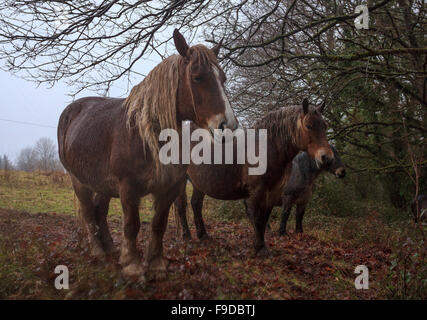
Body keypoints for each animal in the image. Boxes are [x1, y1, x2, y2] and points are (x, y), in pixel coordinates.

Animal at [57, 29, 239, 280]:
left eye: (223, 78)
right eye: (197, 77)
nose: (227, 125)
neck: (147, 136)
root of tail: (71, 112)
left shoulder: (169, 187)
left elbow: (158, 224)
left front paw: (155, 264)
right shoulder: (128, 188)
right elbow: (132, 225)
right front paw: (132, 265)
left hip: (103, 184)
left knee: (100, 210)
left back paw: (110, 248)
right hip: (79, 180)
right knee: (88, 212)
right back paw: (98, 251)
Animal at [175, 99, 334, 256]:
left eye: (325, 126)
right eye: (308, 125)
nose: (326, 157)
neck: (266, 148)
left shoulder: (273, 192)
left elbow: (264, 219)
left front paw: (261, 245)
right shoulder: (257, 191)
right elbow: (257, 219)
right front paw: (260, 248)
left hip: (199, 183)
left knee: (196, 205)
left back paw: (203, 235)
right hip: (182, 180)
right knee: (182, 206)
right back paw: (186, 236)